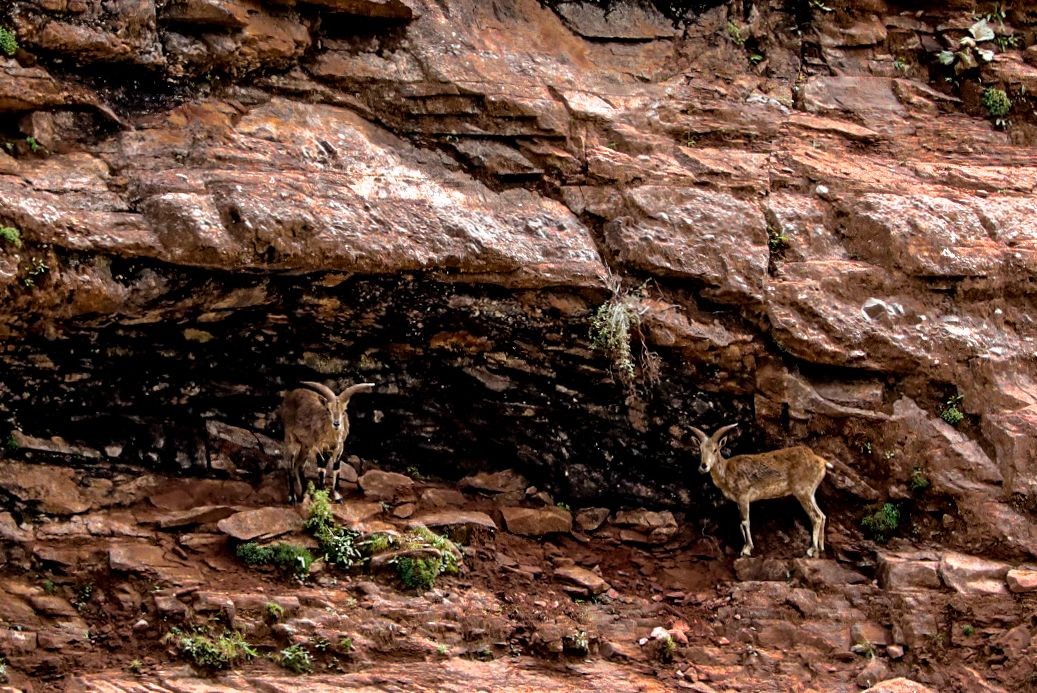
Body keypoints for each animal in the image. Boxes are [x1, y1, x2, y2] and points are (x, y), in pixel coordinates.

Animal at [692, 423, 829, 556]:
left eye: (715, 450)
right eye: (700, 449)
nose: (703, 466)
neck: (726, 472)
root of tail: (821, 462)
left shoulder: (743, 496)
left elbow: (745, 521)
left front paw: (747, 549)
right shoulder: (738, 501)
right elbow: (741, 522)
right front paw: (744, 547)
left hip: (803, 492)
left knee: (816, 516)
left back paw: (812, 549)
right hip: (811, 493)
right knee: (822, 515)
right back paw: (821, 548)